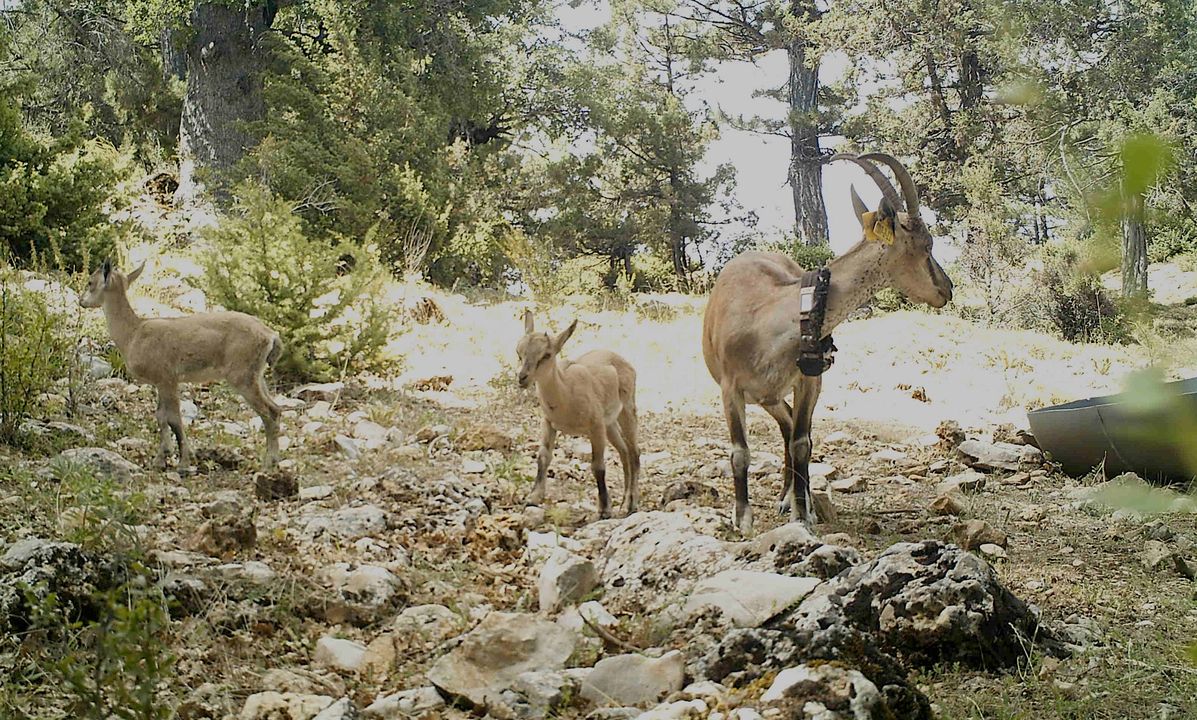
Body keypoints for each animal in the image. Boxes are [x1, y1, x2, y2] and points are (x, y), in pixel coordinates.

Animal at [699, 151, 952, 533]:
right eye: (927, 245)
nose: (947, 288)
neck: (770, 316)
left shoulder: (809, 381)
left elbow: (803, 442)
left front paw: (803, 514)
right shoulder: (731, 388)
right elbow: (740, 451)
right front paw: (742, 518)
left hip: (777, 393)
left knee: (791, 431)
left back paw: (788, 497)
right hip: (765, 395)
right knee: (785, 426)